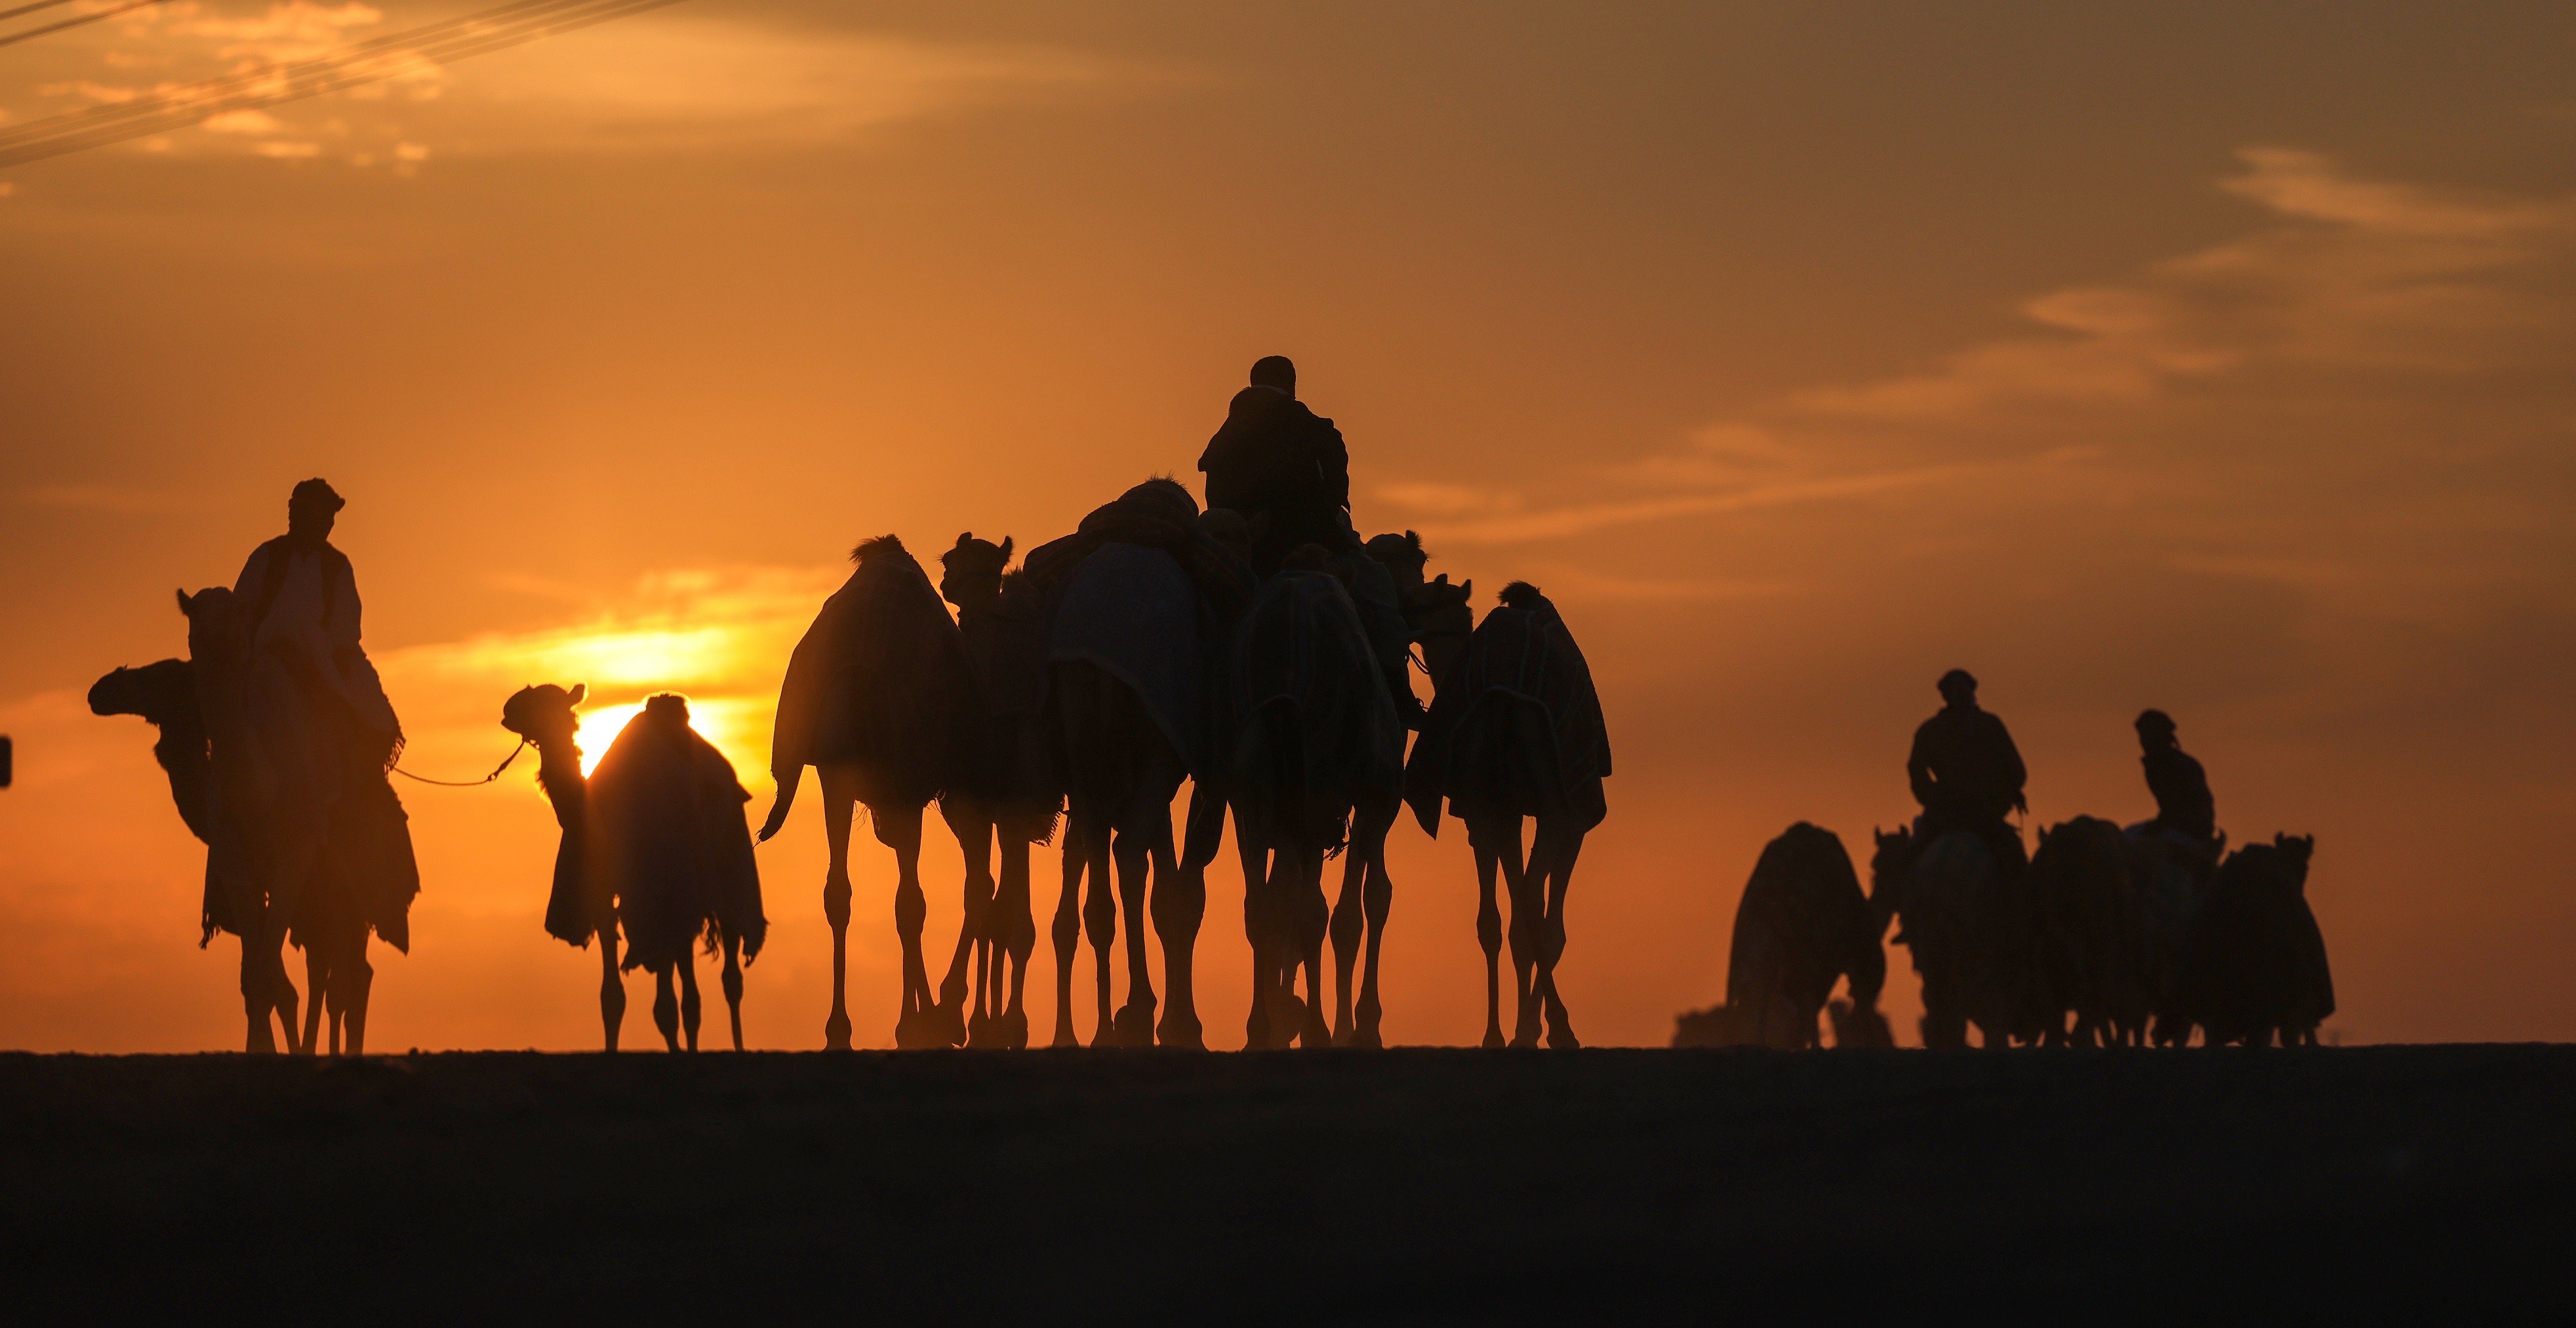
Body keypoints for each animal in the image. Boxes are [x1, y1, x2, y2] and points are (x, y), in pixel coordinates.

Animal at [762, 535, 984, 1055]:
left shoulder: (905, 788)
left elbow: (910, 903)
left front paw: (917, 1024)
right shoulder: (837, 780)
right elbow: (840, 895)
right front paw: (840, 1031)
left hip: (939, 787)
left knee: (968, 880)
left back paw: (951, 1014)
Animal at [1411, 581, 1607, 1050]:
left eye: (1460, 618)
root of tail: (1501, 699)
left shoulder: (1495, 815)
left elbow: (1504, 918)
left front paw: (1506, 1031)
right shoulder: (1569, 817)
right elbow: (1543, 923)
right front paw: (1538, 1027)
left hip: (1496, 803)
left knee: (1508, 915)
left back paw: (1509, 1033)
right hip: (1553, 804)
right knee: (1532, 910)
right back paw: (1551, 1029)